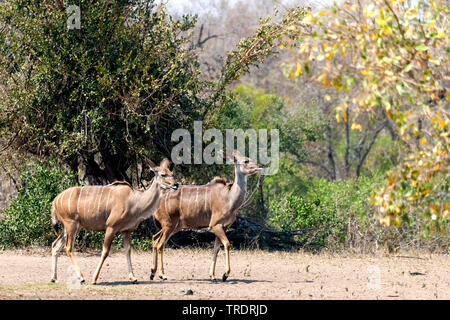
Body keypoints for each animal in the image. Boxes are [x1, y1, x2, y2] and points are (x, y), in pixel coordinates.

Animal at [48, 159, 177, 284]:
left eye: (172, 174)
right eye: (163, 174)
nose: (176, 185)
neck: (135, 200)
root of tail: (55, 201)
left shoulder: (126, 230)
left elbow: (128, 251)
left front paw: (133, 278)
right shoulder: (111, 227)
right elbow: (105, 251)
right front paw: (94, 279)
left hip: (69, 228)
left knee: (55, 245)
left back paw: (54, 278)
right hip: (71, 225)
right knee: (68, 248)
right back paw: (81, 277)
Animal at [152, 149, 264, 282]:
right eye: (246, 160)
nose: (260, 165)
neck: (229, 197)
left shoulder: (223, 227)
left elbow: (216, 248)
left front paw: (213, 276)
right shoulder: (215, 225)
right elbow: (227, 244)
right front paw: (225, 274)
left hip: (172, 227)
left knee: (155, 239)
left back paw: (152, 273)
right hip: (169, 225)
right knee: (160, 244)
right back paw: (162, 275)